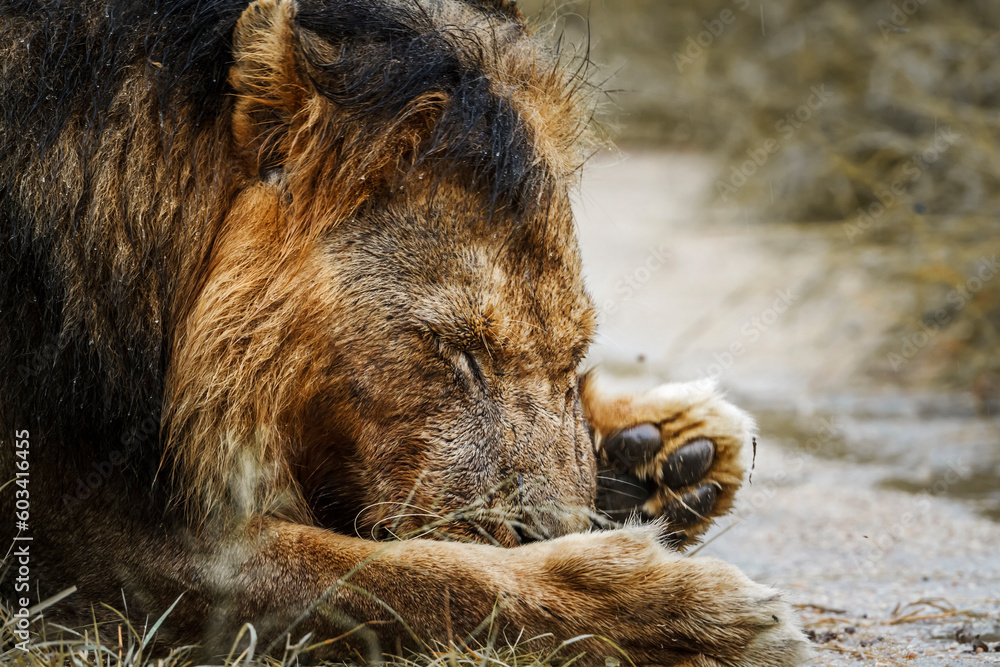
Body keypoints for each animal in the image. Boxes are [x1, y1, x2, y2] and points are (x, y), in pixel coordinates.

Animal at [0, 0, 808, 664]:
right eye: (456, 352)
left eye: (574, 354)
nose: (553, 531)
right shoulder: (90, 548)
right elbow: (399, 577)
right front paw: (681, 612)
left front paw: (664, 448)